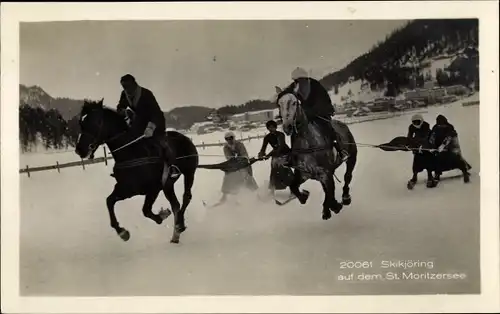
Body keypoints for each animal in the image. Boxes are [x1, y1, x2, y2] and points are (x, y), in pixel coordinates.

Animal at [74, 99, 199, 244]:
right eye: (81, 123)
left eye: (96, 122)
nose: (80, 150)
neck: (133, 153)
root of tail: (185, 138)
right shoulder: (126, 189)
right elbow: (109, 201)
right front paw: (122, 232)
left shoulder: (153, 189)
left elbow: (146, 210)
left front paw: (162, 215)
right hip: (168, 184)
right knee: (176, 204)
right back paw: (177, 230)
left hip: (189, 173)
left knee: (185, 198)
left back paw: (179, 226)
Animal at [274, 85, 360, 218]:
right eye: (279, 104)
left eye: (294, 103)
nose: (287, 127)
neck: (308, 144)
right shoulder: (304, 174)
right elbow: (293, 187)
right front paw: (304, 196)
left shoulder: (325, 173)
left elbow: (330, 193)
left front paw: (333, 207)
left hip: (352, 158)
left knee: (347, 176)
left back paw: (345, 197)